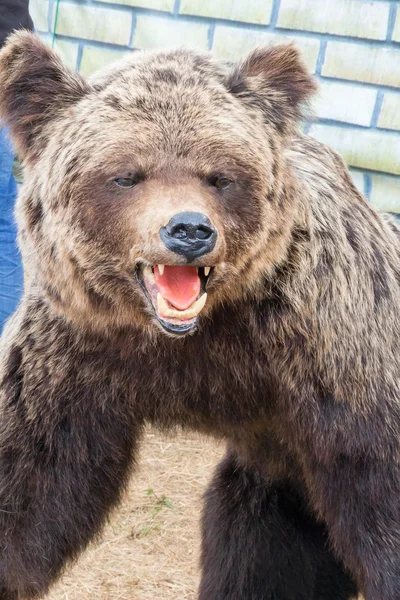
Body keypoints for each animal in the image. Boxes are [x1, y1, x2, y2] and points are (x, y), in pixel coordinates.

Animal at [0, 30, 398, 600]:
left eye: (220, 177)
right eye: (127, 175)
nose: (189, 230)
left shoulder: (332, 354)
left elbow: (380, 490)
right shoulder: (73, 355)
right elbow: (29, 483)